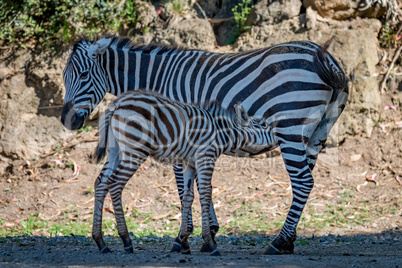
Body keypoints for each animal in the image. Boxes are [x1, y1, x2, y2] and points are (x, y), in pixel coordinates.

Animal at [92, 90, 274, 255]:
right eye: (264, 125)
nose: (279, 137)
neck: (221, 132)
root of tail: (117, 103)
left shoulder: (190, 163)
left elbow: (188, 196)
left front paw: (184, 241)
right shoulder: (205, 158)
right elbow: (205, 195)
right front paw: (210, 243)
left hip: (115, 151)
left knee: (101, 183)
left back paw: (101, 242)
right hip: (135, 151)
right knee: (115, 184)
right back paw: (126, 240)